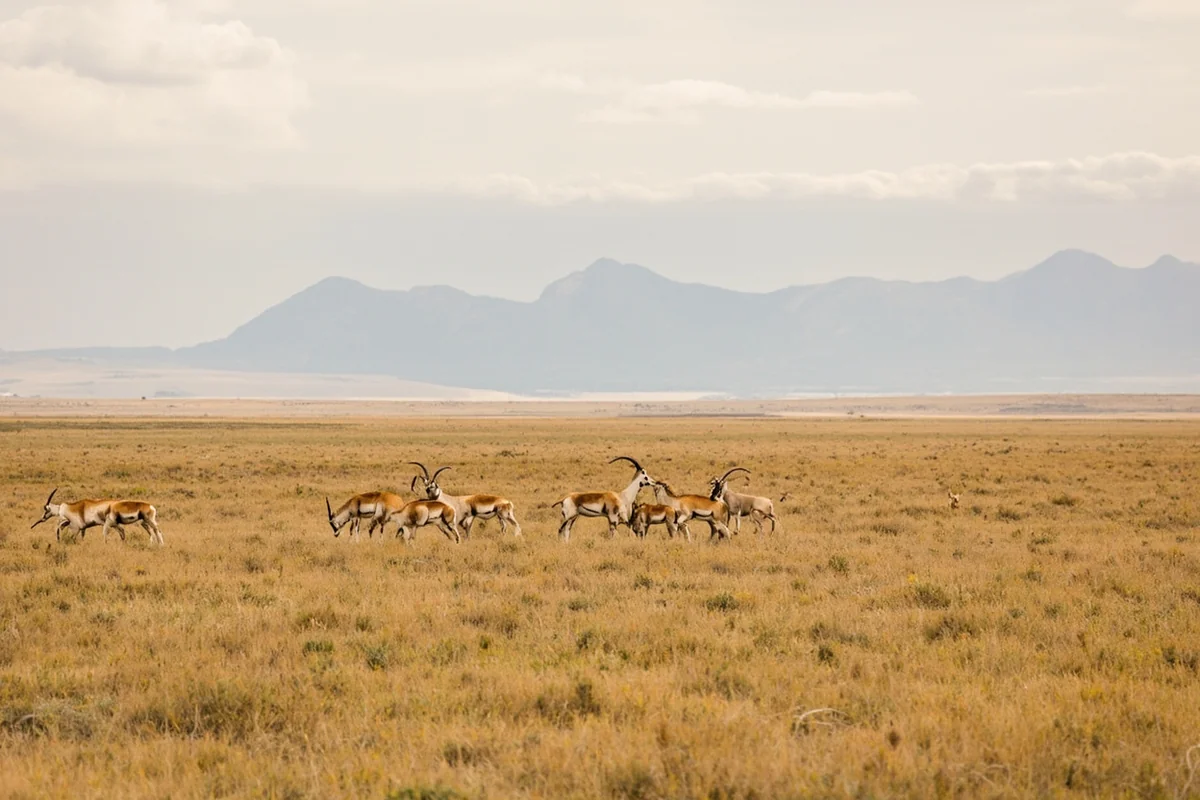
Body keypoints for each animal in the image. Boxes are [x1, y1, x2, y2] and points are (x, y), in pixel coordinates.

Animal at [31, 488, 164, 545]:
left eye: (46, 509)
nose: (42, 518)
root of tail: (151, 506)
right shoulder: (84, 528)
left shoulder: (76, 528)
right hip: (142, 523)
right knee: (151, 532)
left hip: (146, 521)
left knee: (157, 530)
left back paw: (161, 545)